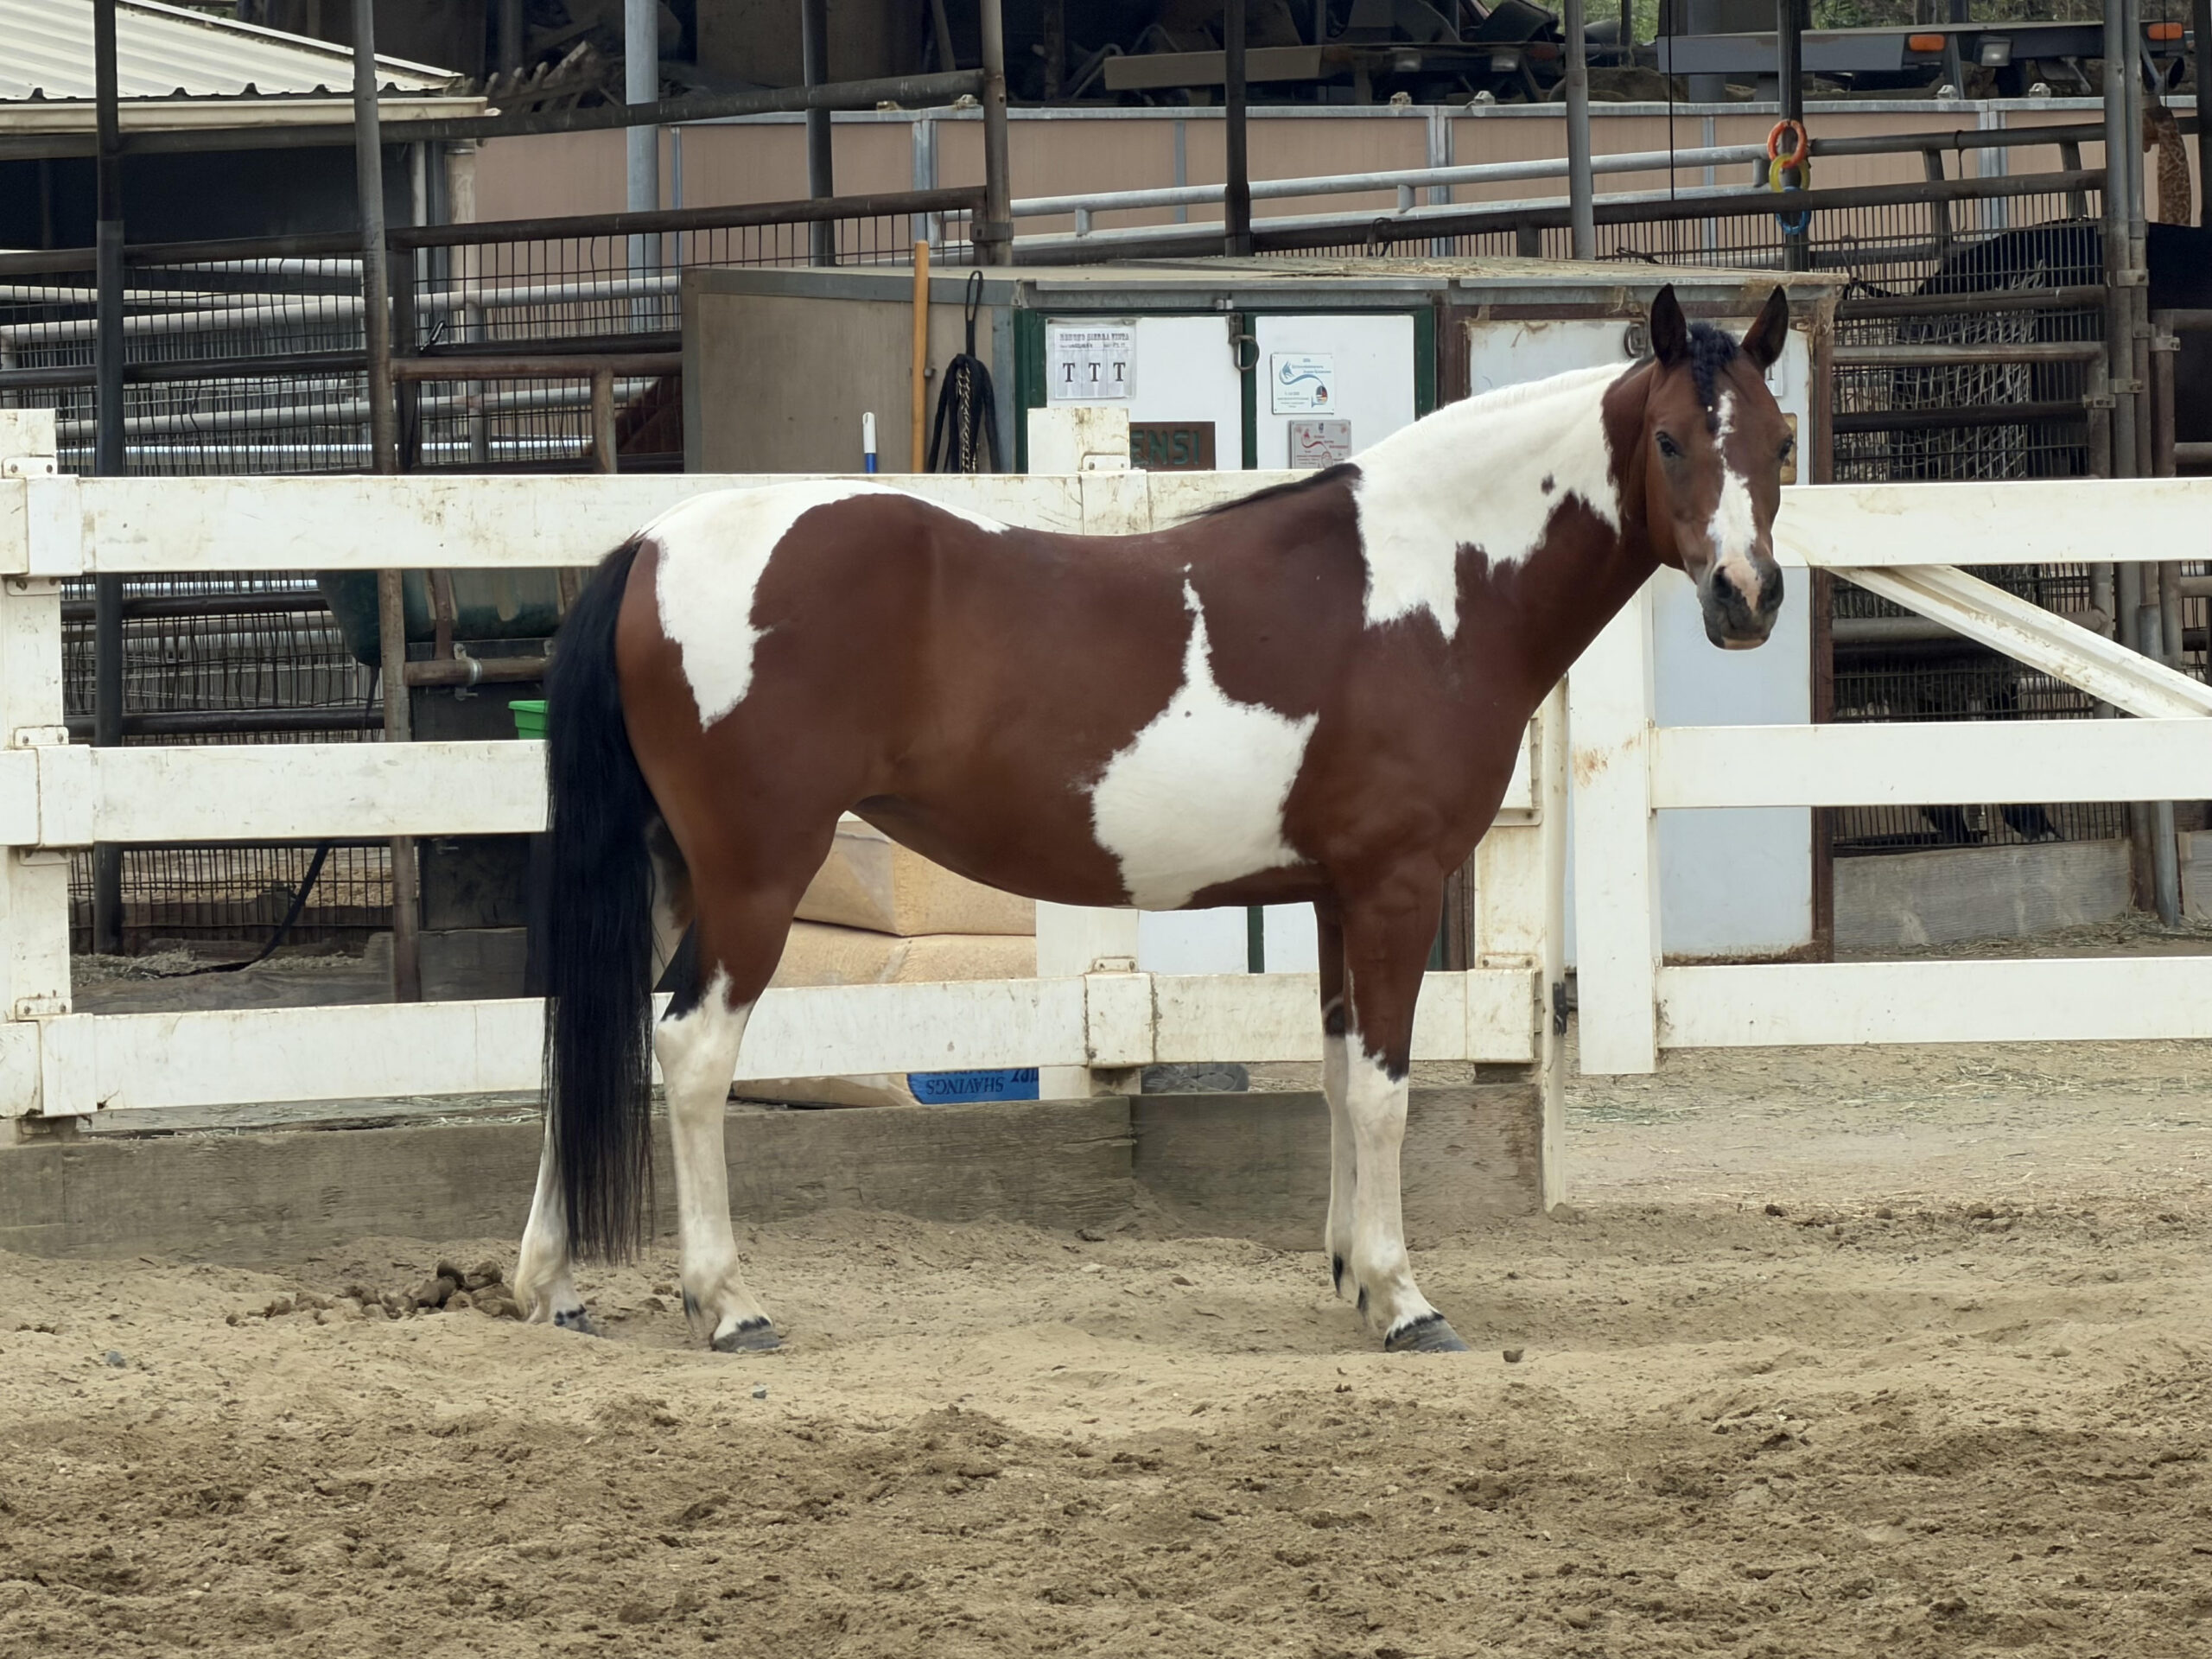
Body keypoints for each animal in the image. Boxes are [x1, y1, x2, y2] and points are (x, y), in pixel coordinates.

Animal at [516, 283, 1795, 1356]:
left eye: (1780, 444)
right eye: (1671, 441)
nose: (1745, 598)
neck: (1433, 580)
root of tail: (649, 547)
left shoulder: (1333, 896)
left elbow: (1336, 1076)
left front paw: (1351, 1273)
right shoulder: (1395, 888)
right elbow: (1383, 1091)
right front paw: (1404, 1300)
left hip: (668, 873)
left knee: (594, 1037)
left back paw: (553, 1288)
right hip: (754, 879)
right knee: (689, 1051)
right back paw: (728, 1304)